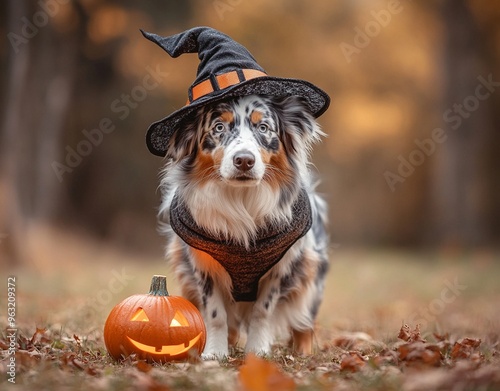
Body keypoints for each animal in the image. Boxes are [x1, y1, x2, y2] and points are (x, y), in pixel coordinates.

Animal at [156, 94, 328, 358]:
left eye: (263, 127)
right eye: (219, 127)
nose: (244, 160)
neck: (241, 200)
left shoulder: (281, 268)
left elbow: (262, 311)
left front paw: (257, 351)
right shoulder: (203, 265)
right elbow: (216, 314)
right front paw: (215, 352)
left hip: (310, 276)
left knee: (305, 322)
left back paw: (302, 351)